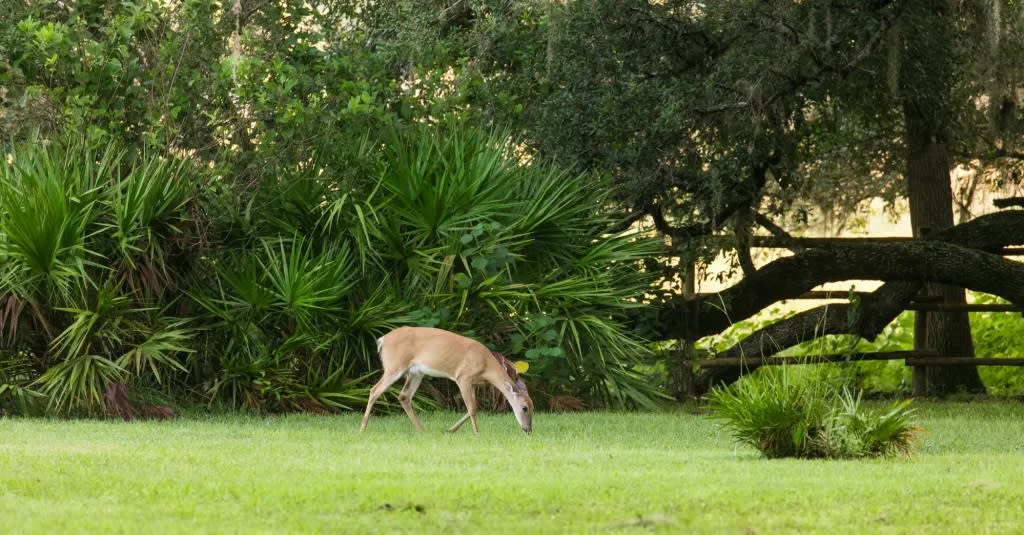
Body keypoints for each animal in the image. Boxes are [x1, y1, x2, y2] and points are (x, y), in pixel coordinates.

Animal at [360, 323, 536, 432]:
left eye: (533, 407)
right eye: (524, 408)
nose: (528, 430)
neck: (486, 365)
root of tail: (382, 340)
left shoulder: (473, 382)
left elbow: (474, 407)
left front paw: (450, 430)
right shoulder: (463, 377)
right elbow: (472, 408)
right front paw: (477, 432)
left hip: (415, 372)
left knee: (404, 396)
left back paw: (421, 430)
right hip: (394, 365)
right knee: (375, 390)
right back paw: (362, 428)